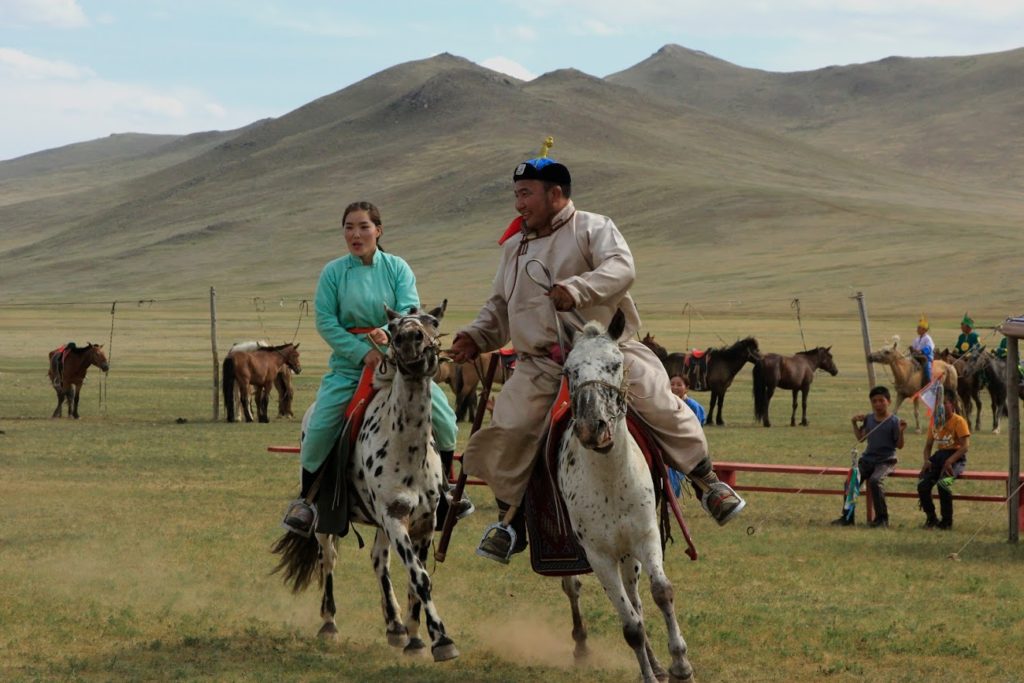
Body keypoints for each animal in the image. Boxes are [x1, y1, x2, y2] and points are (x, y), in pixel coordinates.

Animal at [274, 301, 462, 663]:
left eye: (432, 322)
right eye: (394, 326)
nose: (409, 340)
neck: (407, 446)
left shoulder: (423, 521)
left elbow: (414, 579)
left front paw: (416, 637)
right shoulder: (394, 516)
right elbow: (420, 577)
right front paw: (442, 639)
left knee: (378, 560)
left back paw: (395, 626)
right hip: (327, 517)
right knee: (328, 558)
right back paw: (329, 623)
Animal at [561, 313, 696, 683]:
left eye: (615, 364)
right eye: (569, 371)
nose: (591, 427)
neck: (610, 479)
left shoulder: (646, 537)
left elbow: (661, 593)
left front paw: (680, 665)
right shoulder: (598, 556)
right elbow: (631, 627)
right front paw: (653, 672)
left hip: (628, 555)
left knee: (636, 599)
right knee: (575, 588)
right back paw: (581, 644)